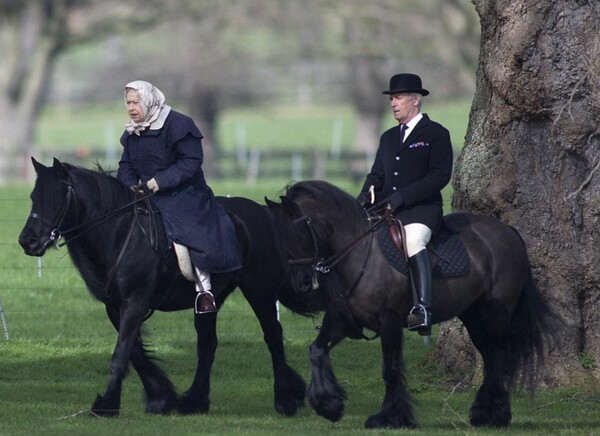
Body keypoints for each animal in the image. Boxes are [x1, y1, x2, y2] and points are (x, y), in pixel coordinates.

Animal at [17, 158, 314, 418]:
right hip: (209, 300)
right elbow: (135, 354)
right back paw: (194, 401)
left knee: (272, 335)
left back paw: (287, 399)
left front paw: (106, 405)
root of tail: (262, 214)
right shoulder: (116, 307)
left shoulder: (135, 304)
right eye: (33, 197)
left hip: (259, 291)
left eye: (56, 198)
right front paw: (161, 398)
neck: (120, 233)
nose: (27, 242)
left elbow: (121, 354)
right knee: (208, 344)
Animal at [268, 180, 556, 430]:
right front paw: (329, 405)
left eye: (299, 234)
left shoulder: (390, 320)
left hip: (496, 313)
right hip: (473, 317)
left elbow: (391, 369)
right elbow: (316, 350)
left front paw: (391, 417)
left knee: (501, 356)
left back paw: (491, 414)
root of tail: (509, 232)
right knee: (492, 356)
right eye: (278, 236)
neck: (359, 254)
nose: (301, 283)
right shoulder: (341, 319)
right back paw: (488, 413)